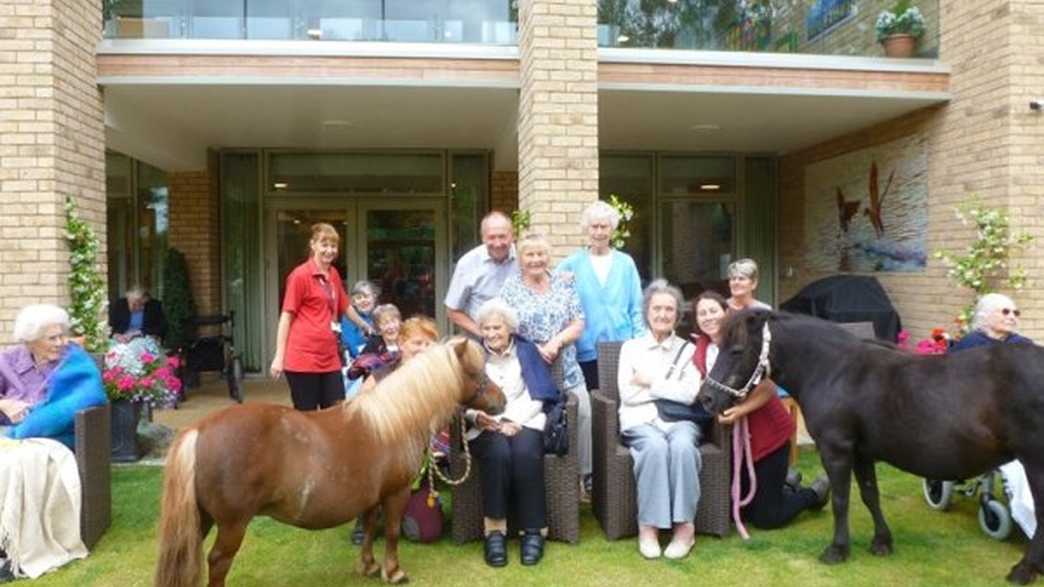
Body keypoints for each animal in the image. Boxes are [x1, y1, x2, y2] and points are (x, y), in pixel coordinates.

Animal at [153, 338, 505, 584]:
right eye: (476, 372)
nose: (501, 401)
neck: (394, 420)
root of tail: (198, 430)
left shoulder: (371, 497)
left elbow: (369, 526)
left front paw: (369, 566)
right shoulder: (396, 493)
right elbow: (391, 531)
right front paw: (393, 572)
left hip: (200, 519)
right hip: (232, 524)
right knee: (217, 562)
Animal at [697, 309, 1044, 580]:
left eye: (736, 349)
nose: (707, 398)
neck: (833, 370)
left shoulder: (836, 450)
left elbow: (841, 500)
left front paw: (838, 550)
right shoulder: (862, 453)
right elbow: (869, 496)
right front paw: (882, 542)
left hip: (1035, 463)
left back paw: (1023, 570)